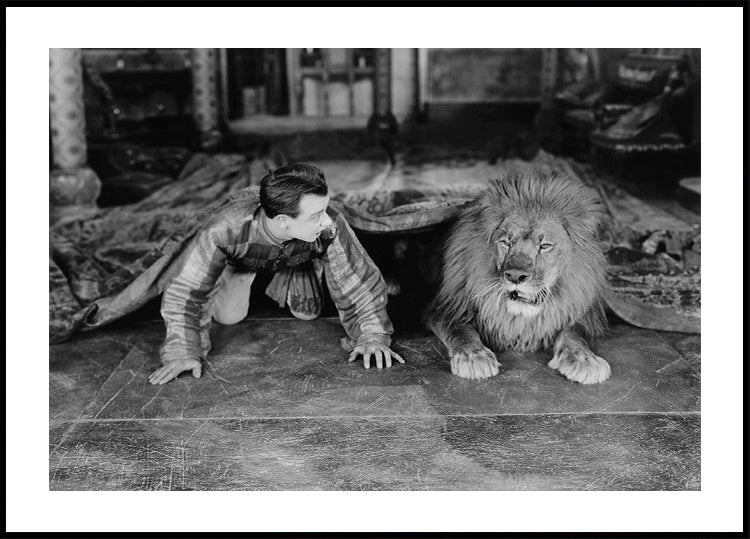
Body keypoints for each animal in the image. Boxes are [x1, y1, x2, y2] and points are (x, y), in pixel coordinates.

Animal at [426, 169, 612, 384]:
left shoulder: (580, 311)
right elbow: (459, 329)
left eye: (545, 246)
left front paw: (585, 359)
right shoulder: (445, 306)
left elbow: (573, 333)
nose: (514, 276)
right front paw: (473, 357)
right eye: (506, 242)